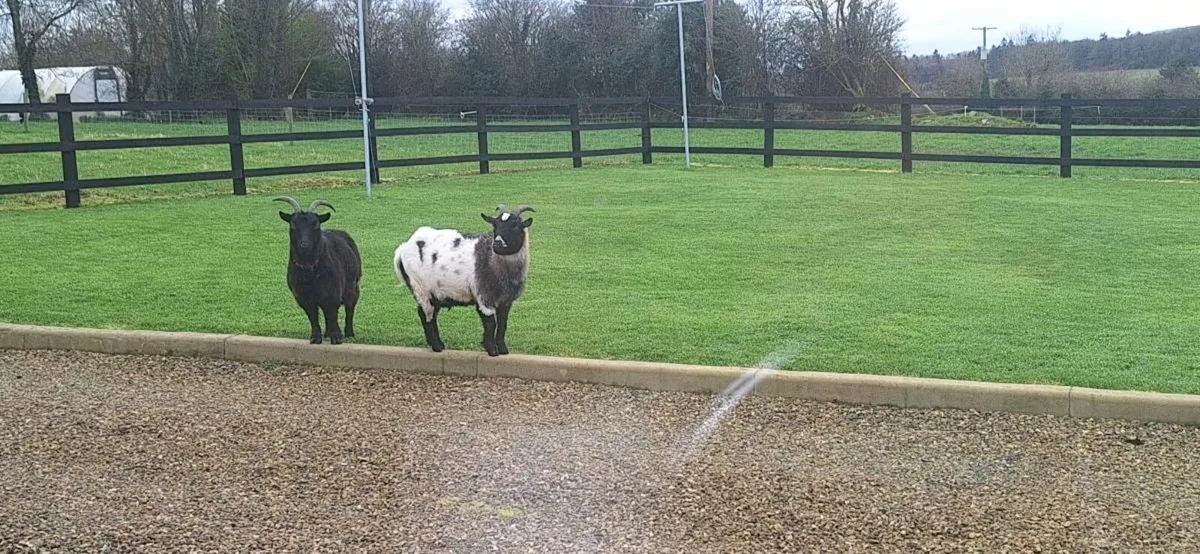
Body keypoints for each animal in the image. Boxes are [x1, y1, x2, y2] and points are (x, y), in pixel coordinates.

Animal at [274, 196, 363, 345]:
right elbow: (313, 316)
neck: (310, 271)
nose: (304, 244)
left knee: (349, 307)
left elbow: (332, 313)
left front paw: (336, 337)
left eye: (315, 224)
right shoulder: (303, 296)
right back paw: (327, 333)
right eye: (293, 224)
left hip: (353, 285)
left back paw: (349, 333)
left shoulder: (333, 291)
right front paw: (315, 337)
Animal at [394, 204, 534, 356]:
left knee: (429, 313)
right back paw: (436, 346)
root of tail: (403, 248)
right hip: (420, 287)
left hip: (434, 292)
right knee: (426, 314)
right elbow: (491, 324)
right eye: (495, 225)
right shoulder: (484, 297)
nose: (497, 243)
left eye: (516, 225)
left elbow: (503, 324)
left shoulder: (505, 301)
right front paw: (492, 350)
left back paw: (438, 344)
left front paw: (503, 350)